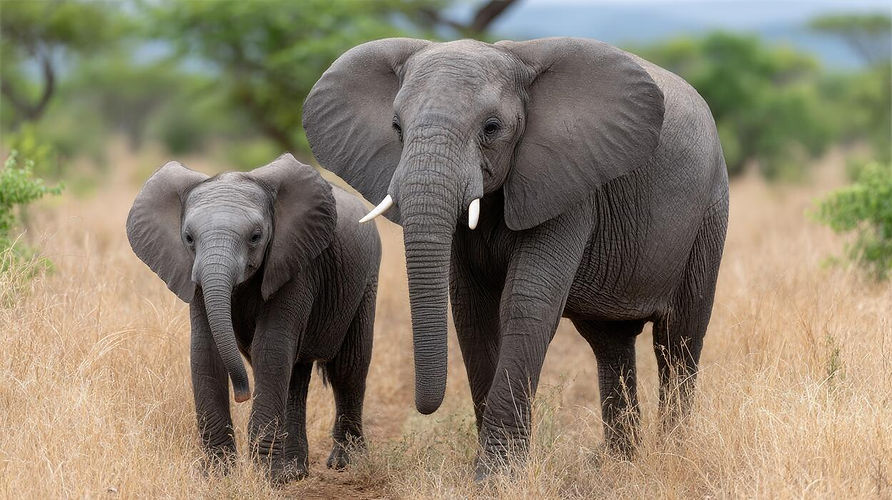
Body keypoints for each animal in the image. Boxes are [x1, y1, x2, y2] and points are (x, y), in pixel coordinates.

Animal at [126, 153, 381, 483]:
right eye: (189, 238)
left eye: (256, 237)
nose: (242, 395)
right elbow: (206, 352)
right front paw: (219, 476)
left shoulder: (295, 263)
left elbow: (269, 349)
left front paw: (264, 478)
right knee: (296, 375)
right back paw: (294, 472)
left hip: (366, 279)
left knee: (348, 368)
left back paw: (344, 463)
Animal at [303, 37, 729, 476]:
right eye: (396, 129)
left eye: (491, 128)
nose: (424, 409)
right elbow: (471, 310)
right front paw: (489, 468)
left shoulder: (566, 183)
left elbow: (525, 303)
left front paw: (494, 476)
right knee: (610, 342)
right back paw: (616, 463)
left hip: (709, 212)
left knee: (678, 339)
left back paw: (672, 454)